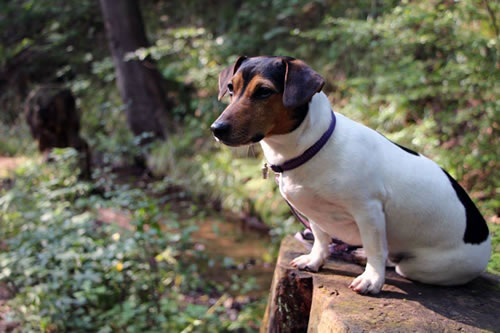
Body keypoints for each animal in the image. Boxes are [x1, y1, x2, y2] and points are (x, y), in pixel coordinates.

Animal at [211, 55, 492, 294]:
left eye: (264, 91)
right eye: (231, 88)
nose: (216, 129)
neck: (313, 147)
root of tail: (485, 238)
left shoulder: (369, 212)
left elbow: (376, 248)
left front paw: (372, 280)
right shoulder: (315, 214)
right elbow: (321, 239)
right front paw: (315, 260)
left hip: (424, 266)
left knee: (394, 260)